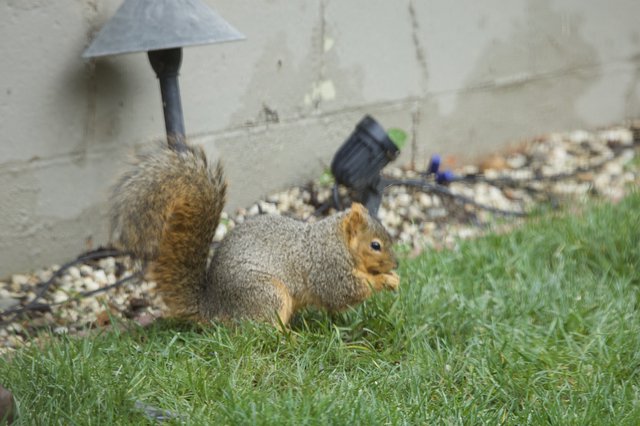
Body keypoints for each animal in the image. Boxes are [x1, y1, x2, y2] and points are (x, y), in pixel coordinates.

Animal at [109, 141, 400, 326]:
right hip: (266, 295)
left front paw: (394, 278)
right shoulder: (328, 268)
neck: (337, 242)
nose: (396, 263)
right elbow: (345, 292)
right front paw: (384, 280)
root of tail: (214, 307)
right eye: (375, 245)